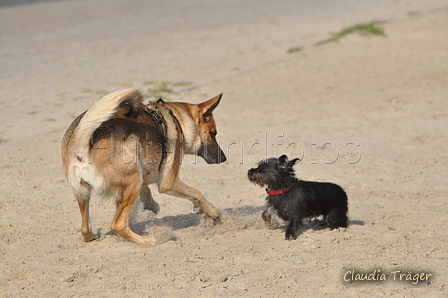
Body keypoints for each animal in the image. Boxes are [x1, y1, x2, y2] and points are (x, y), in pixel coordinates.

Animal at [61, 89, 226, 246]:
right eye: (213, 134)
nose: (223, 158)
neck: (177, 120)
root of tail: (82, 146)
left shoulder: (142, 172)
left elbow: (147, 190)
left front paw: (151, 204)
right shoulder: (168, 183)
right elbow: (197, 194)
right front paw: (213, 212)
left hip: (84, 193)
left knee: (85, 229)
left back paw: (92, 236)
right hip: (132, 182)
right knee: (118, 225)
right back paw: (147, 241)